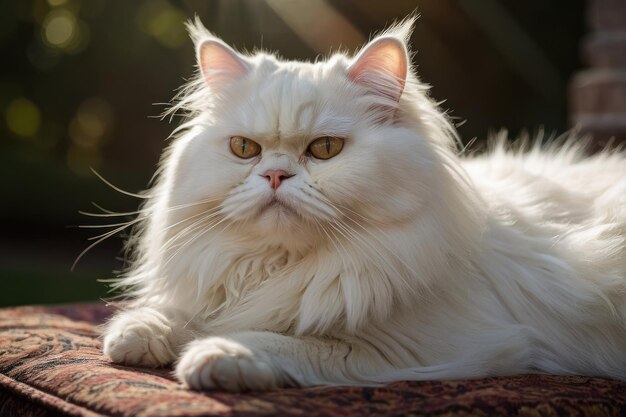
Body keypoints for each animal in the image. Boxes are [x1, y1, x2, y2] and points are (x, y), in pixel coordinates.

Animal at [100, 17, 620, 390]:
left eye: (325, 149)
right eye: (245, 149)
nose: (275, 175)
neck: (281, 267)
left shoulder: (417, 348)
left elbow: (283, 340)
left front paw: (217, 354)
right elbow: (178, 315)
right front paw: (135, 334)